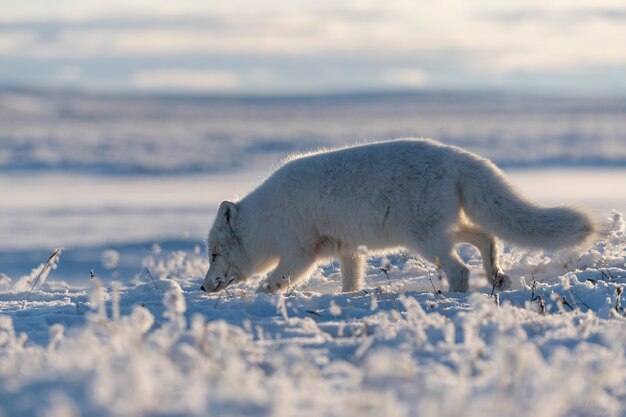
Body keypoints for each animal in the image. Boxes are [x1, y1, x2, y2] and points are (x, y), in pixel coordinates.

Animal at [201, 137, 596, 292]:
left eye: (214, 254)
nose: (202, 286)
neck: (266, 220)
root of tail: (453, 154)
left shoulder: (300, 253)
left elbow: (275, 281)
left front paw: (261, 295)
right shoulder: (348, 250)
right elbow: (351, 282)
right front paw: (348, 297)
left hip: (424, 239)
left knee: (460, 268)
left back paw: (457, 294)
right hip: (435, 232)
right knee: (485, 236)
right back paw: (496, 276)